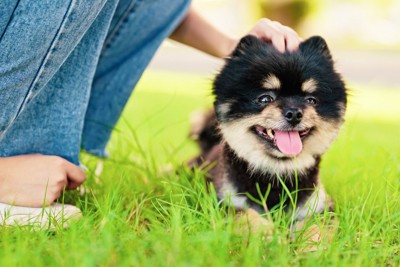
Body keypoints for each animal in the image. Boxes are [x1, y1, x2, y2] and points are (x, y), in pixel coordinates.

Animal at [191, 35, 346, 237]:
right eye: (265, 99)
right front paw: (268, 236)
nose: (294, 113)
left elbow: (317, 226)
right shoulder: (221, 201)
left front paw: (311, 243)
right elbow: (246, 215)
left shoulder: (319, 206)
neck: (277, 172)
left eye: (311, 100)